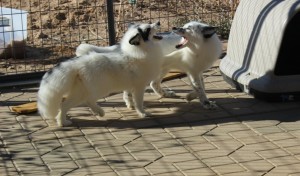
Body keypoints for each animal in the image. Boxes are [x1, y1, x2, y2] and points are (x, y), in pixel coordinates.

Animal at [77, 20, 223, 108]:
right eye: (185, 26)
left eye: (188, 29)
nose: (174, 27)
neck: (198, 50)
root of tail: (122, 46)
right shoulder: (192, 71)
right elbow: (200, 88)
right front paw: (205, 102)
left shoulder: (197, 71)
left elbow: (201, 86)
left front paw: (190, 96)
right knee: (143, 85)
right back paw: (130, 103)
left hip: (162, 69)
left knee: (153, 83)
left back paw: (164, 94)